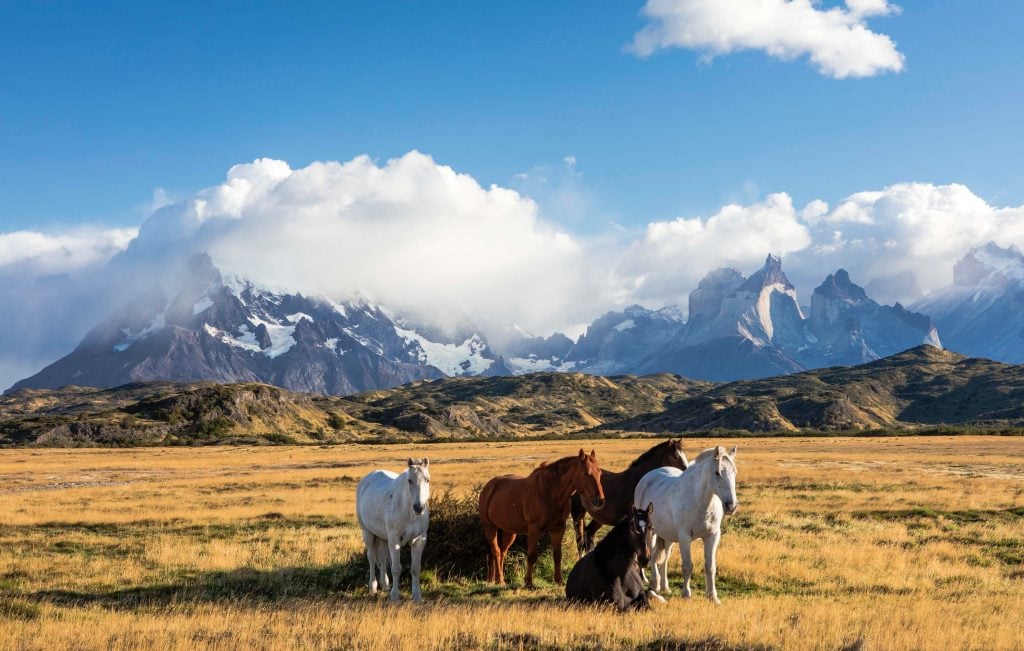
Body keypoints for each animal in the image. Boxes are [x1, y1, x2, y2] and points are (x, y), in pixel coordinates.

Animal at [356, 458, 432, 601]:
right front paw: (395, 596)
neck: (409, 512)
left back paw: (385, 584)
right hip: (368, 533)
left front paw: (417, 595)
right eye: (409, 480)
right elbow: (396, 568)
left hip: (384, 537)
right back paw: (373, 587)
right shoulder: (394, 539)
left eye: (427, 480)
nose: (419, 508)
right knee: (371, 557)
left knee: (383, 558)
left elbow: (415, 568)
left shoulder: (419, 539)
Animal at [481, 450, 606, 585]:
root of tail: (489, 486)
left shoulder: (558, 528)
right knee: (496, 551)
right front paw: (529, 582)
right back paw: (499, 580)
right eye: (586, 473)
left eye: (599, 472)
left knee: (502, 552)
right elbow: (532, 555)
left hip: (509, 532)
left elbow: (557, 554)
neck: (550, 492)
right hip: (490, 528)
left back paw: (496, 579)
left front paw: (558, 580)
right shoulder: (534, 529)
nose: (600, 501)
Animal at [630, 444, 737, 601]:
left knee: (663, 558)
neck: (701, 501)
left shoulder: (712, 536)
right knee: (652, 556)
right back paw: (655, 583)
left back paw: (665, 587)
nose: (731, 506)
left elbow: (710, 566)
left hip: (667, 536)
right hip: (651, 533)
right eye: (717, 473)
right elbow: (687, 566)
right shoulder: (685, 537)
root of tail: (648, 476)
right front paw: (686, 594)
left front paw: (712, 596)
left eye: (734, 472)